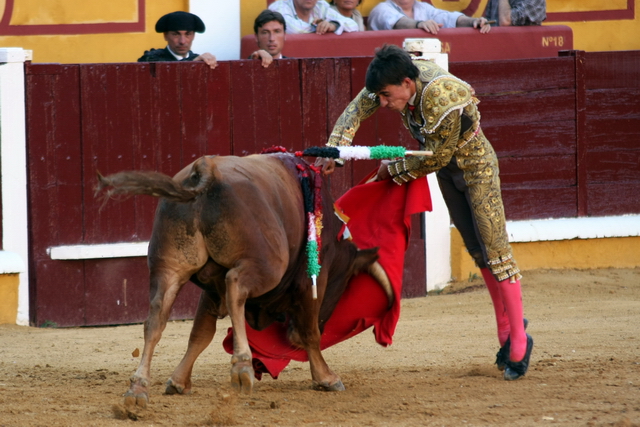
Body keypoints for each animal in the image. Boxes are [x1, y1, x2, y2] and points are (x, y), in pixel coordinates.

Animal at [95, 153, 392, 408]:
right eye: (342, 285)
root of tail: (207, 169)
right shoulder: (310, 280)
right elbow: (310, 333)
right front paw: (326, 378)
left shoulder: (210, 291)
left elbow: (200, 334)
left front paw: (178, 382)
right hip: (267, 265)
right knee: (236, 286)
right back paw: (242, 365)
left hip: (168, 268)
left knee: (155, 318)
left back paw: (137, 390)